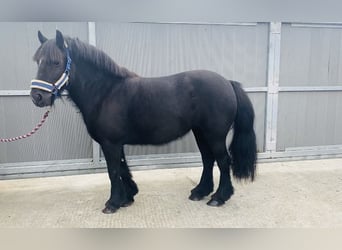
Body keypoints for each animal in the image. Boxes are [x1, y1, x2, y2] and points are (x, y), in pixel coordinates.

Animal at [30, 29, 256, 213]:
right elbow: (122, 168)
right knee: (208, 160)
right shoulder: (115, 143)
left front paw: (113, 203)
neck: (106, 92)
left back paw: (219, 197)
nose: (37, 97)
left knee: (223, 161)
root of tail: (227, 82)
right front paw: (128, 197)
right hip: (200, 132)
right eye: (38, 61)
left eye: (56, 62)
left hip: (214, 134)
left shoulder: (110, 143)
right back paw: (200, 192)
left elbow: (113, 171)